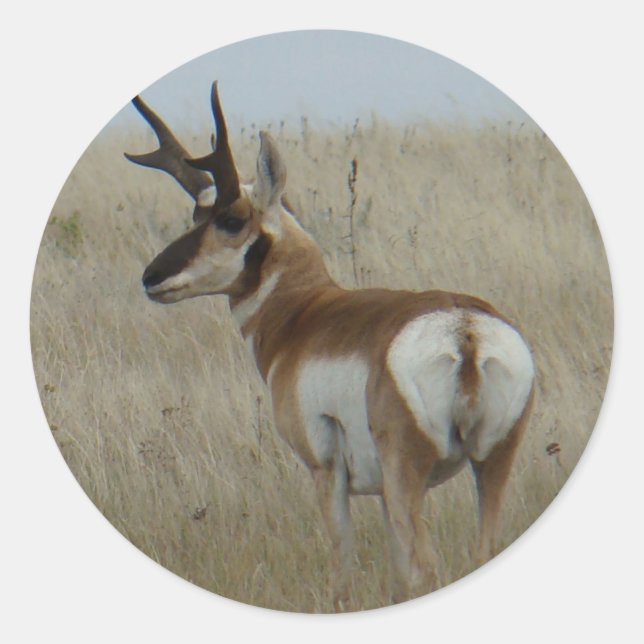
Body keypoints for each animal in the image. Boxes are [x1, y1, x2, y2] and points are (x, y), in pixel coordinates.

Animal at [125, 82, 535, 609]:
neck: (307, 313)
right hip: (491, 464)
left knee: (425, 569)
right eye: (197, 212)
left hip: (408, 476)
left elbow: (343, 575)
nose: (152, 276)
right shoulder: (380, 493)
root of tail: (464, 330)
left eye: (232, 219)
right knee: (479, 552)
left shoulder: (326, 473)